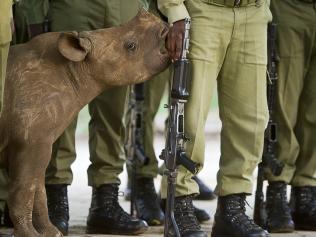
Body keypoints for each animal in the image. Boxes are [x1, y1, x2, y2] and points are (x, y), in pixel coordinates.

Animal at [0, 9, 169, 237]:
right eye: (131, 46)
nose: (164, 24)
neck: (76, 68)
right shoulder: (29, 141)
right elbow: (24, 188)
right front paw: (30, 235)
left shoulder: (39, 142)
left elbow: (37, 187)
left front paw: (52, 232)